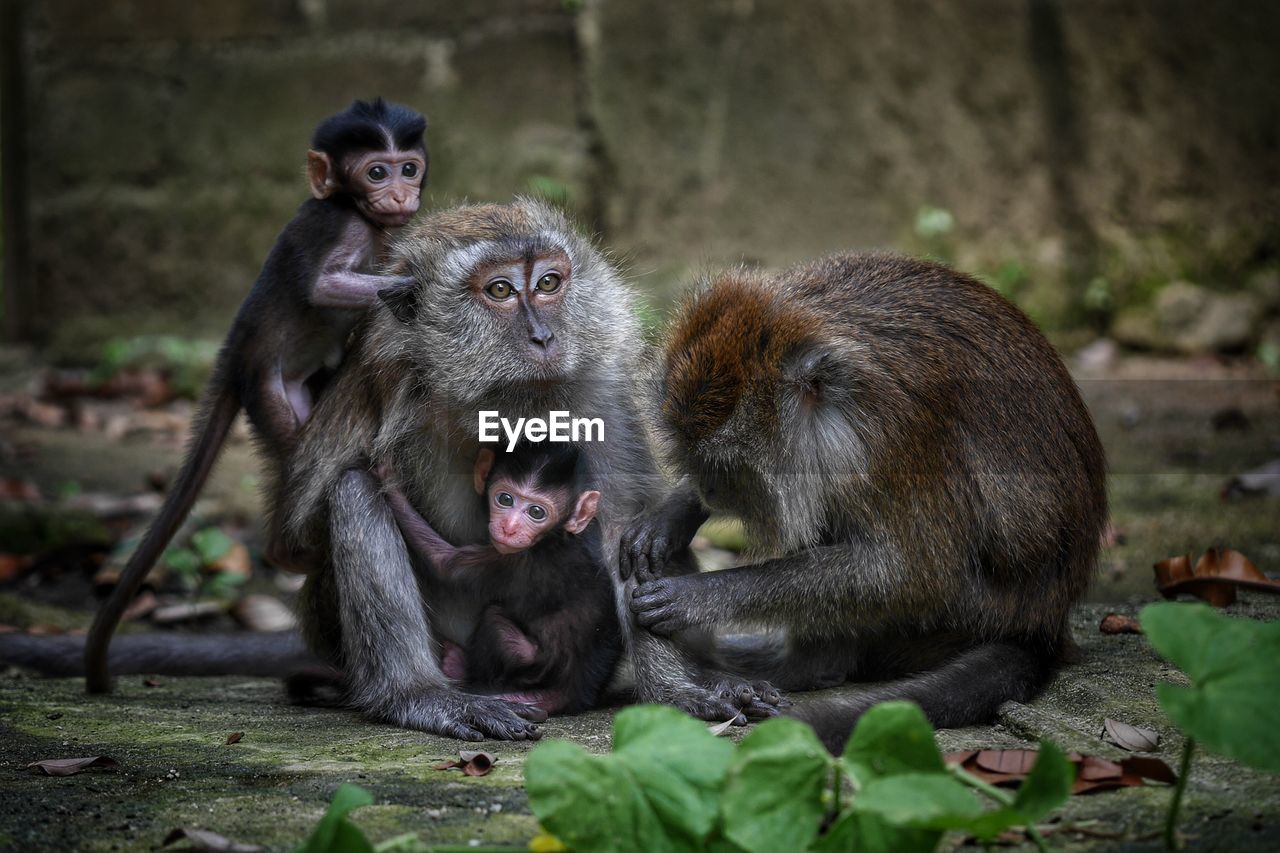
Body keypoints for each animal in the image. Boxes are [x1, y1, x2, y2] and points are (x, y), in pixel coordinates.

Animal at [83, 96, 430, 691]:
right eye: (375, 172)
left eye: (408, 167)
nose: (401, 195)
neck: (354, 208)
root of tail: (236, 353)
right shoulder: (341, 225)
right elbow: (325, 286)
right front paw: (414, 284)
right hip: (270, 389)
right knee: (294, 450)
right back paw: (287, 553)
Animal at [378, 440, 619, 712]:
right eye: (505, 499)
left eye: (537, 512)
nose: (509, 528)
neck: (559, 535)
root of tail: (574, 691)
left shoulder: (518, 558)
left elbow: (445, 563)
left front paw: (387, 478)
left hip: (531, 669)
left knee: (495, 621)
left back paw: (459, 667)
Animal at [624, 253, 1105, 753]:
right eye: (692, 456)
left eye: (725, 465)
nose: (708, 491)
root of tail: (1043, 626)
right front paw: (672, 514)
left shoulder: (896, 433)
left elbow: (913, 575)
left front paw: (700, 595)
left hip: (957, 622)